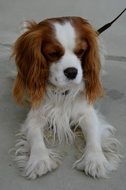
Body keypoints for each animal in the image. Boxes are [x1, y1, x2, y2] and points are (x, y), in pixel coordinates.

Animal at [12, 16, 120, 180]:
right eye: (53, 53)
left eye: (81, 51)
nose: (72, 72)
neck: (62, 92)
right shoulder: (35, 116)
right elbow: (35, 137)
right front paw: (39, 160)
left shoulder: (87, 113)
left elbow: (93, 136)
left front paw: (95, 160)